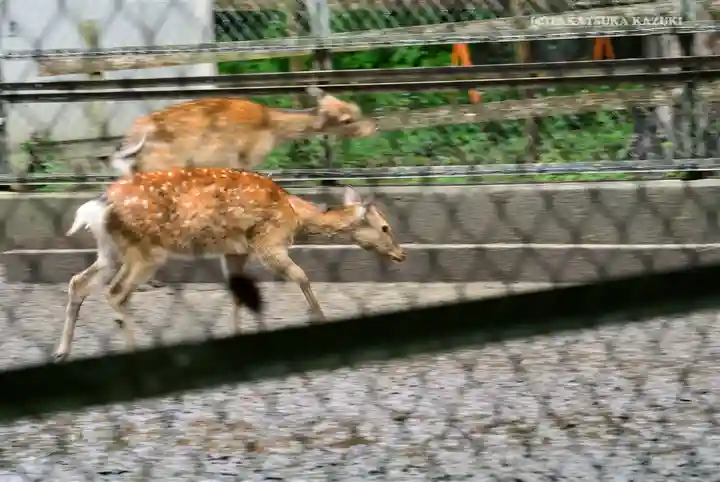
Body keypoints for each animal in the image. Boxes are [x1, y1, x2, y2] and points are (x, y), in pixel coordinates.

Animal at [53, 167, 406, 362]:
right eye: (385, 227)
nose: (401, 255)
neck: (294, 214)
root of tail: (96, 207)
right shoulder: (268, 243)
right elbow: (301, 276)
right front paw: (320, 319)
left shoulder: (236, 251)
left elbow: (236, 292)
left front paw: (236, 334)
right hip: (146, 251)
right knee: (115, 293)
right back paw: (132, 349)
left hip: (111, 250)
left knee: (78, 282)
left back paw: (62, 351)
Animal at [107, 86, 377, 176]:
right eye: (346, 120)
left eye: (356, 107)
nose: (373, 125)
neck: (272, 129)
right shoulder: (242, 161)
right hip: (161, 165)